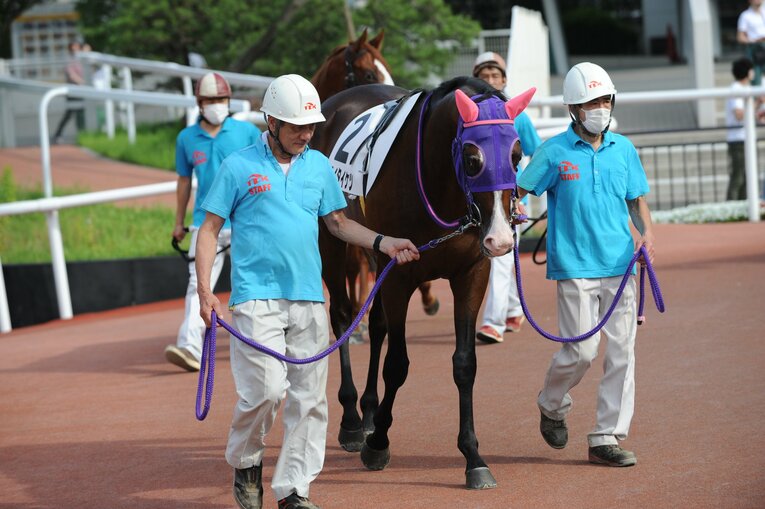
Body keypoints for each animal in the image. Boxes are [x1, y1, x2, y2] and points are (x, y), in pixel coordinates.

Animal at [312, 77, 535, 489]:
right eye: (472, 158)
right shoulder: (400, 272)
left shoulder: (470, 273)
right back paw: (353, 419)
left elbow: (465, 364)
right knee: (343, 315)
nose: (500, 239)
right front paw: (378, 443)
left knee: (378, 324)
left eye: (516, 154)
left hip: (373, 250)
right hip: (332, 239)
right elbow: (398, 365)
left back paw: (370, 411)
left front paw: (473, 456)